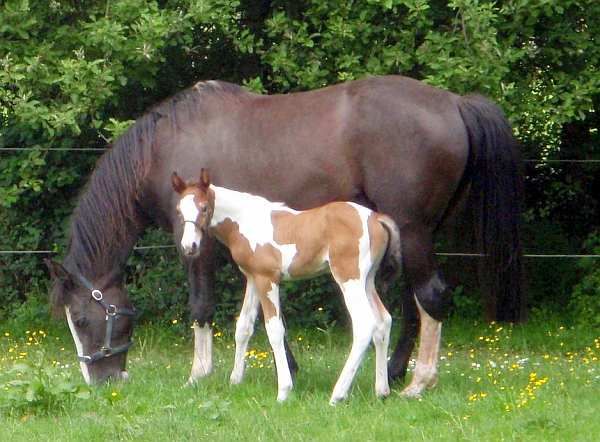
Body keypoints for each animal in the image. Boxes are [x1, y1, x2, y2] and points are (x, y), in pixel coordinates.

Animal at [171, 169, 400, 404]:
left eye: (204, 208)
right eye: (179, 211)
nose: (189, 246)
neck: (245, 220)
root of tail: (376, 218)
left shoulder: (267, 279)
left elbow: (274, 330)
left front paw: (284, 390)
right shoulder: (253, 278)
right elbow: (243, 326)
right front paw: (235, 380)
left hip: (349, 278)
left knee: (365, 324)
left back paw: (338, 394)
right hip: (367, 280)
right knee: (384, 321)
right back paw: (381, 390)